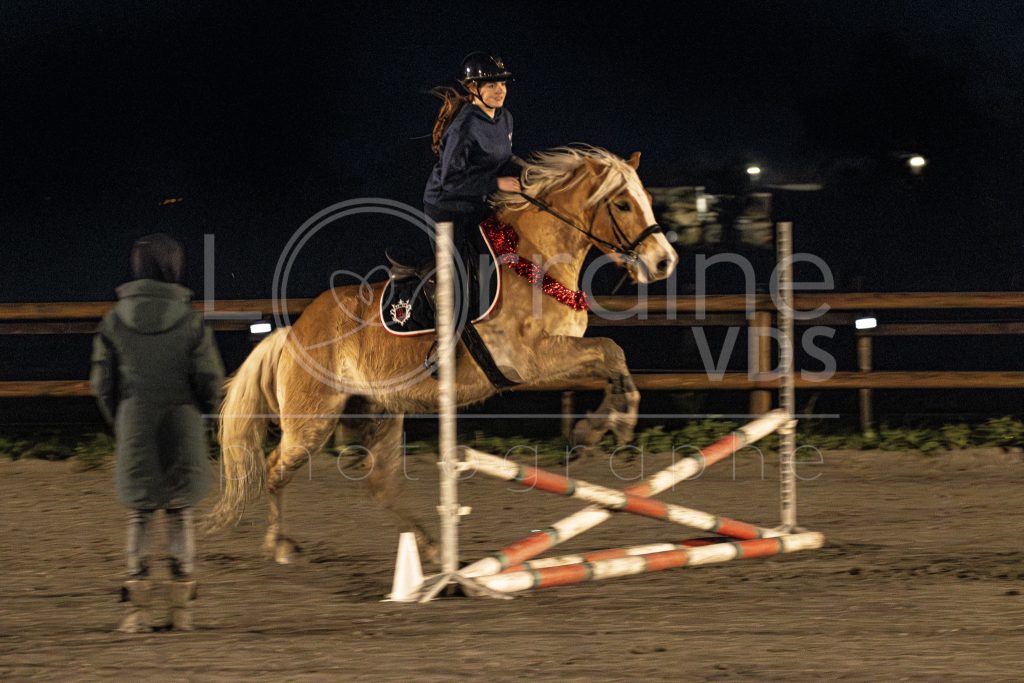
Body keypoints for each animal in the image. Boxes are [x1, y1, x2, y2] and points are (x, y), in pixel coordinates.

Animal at [204, 145, 679, 564]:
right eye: (622, 204)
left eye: (646, 198)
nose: (665, 262)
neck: (532, 262)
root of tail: (294, 334)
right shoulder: (531, 359)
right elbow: (611, 351)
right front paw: (611, 426)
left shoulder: (555, 359)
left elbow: (612, 360)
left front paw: (597, 429)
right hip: (313, 422)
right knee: (274, 466)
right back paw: (280, 546)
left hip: (378, 412)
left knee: (378, 485)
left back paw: (430, 548)